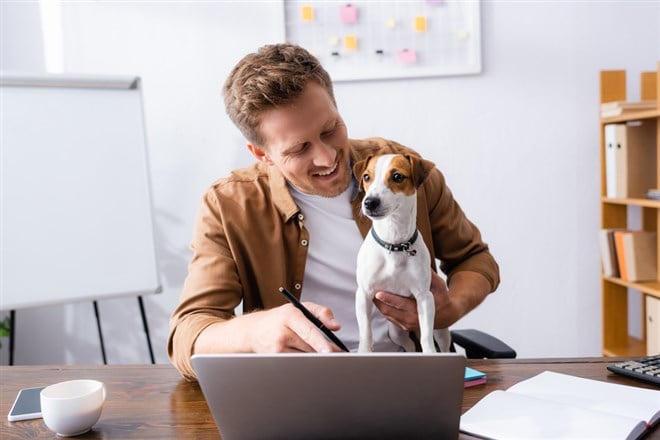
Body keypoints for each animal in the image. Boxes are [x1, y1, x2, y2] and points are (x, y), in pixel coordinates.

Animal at [354, 155, 452, 354]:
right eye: (366, 177)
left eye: (397, 177)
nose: (369, 202)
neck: (394, 244)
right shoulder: (364, 294)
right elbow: (366, 333)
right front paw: (364, 351)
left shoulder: (425, 297)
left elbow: (426, 338)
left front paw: (430, 353)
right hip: (396, 332)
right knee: (410, 345)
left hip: (440, 327)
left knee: (441, 343)